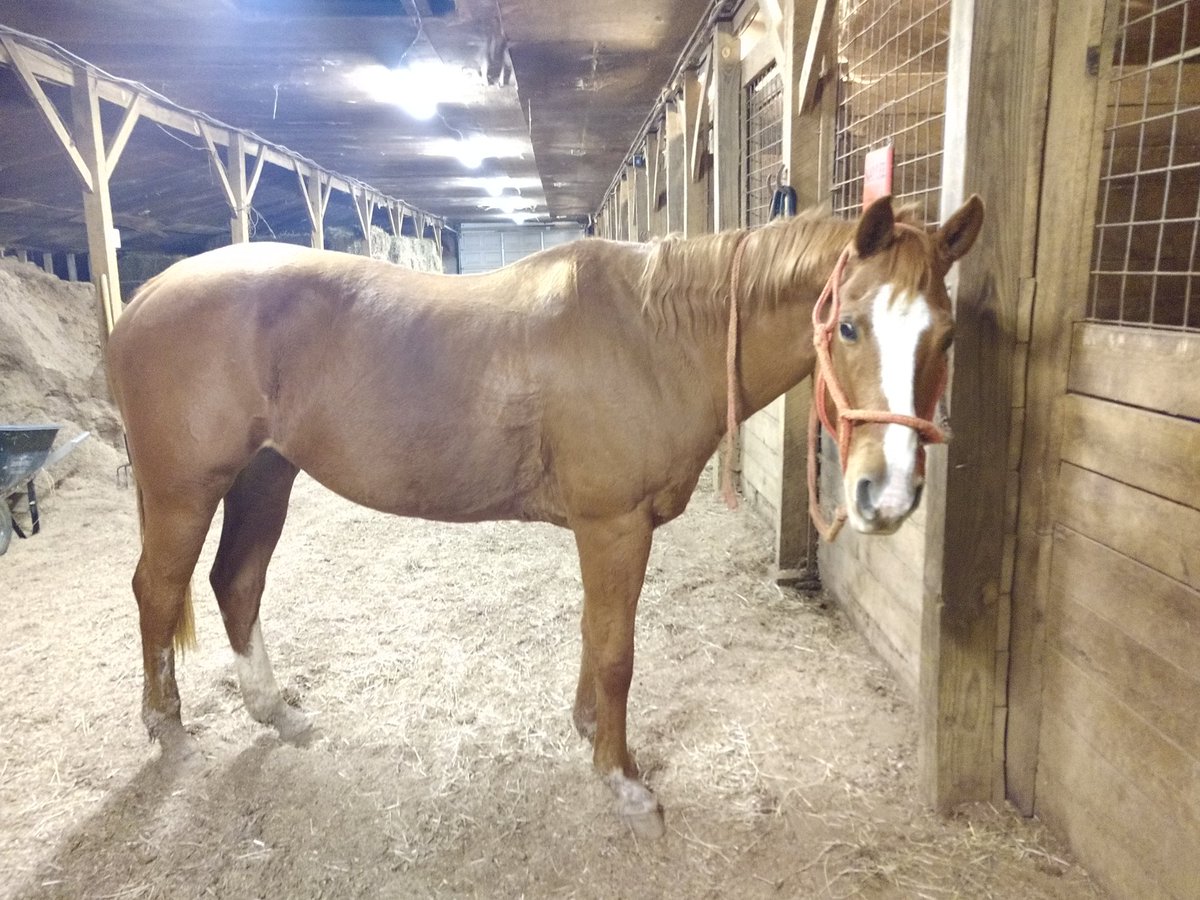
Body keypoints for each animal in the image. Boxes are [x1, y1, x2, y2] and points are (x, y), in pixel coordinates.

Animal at [105, 195, 984, 840]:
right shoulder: (614, 526)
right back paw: (170, 732)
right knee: (157, 591)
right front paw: (622, 779)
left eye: (945, 335)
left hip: (265, 475)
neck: (655, 334)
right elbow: (618, 651)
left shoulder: (611, 531)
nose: (887, 495)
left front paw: (588, 730)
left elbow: (597, 637)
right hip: (187, 493)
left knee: (236, 582)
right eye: (848, 326)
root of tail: (147, 295)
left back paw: (276, 712)